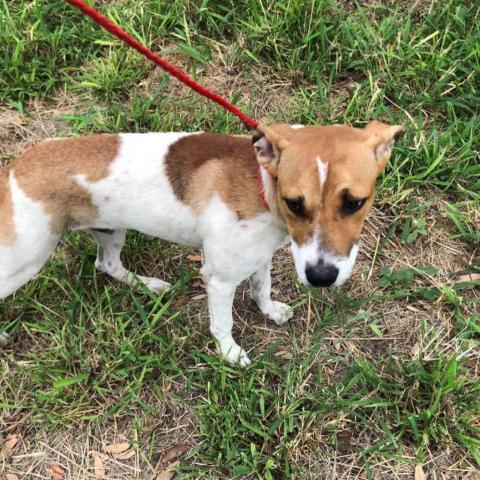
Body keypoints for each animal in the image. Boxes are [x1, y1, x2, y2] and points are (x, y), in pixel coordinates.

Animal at [0, 122, 402, 366]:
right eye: (294, 203)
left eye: (355, 203)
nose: (321, 277)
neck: (260, 186)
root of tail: (13, 168)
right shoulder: (220, 278)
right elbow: (222, 323)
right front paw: (229, 353)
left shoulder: (259, 256)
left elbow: (262, 288)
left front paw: (270, 311)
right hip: (24, 260)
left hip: (110, 228)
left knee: (107, 264)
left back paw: (148, 286)